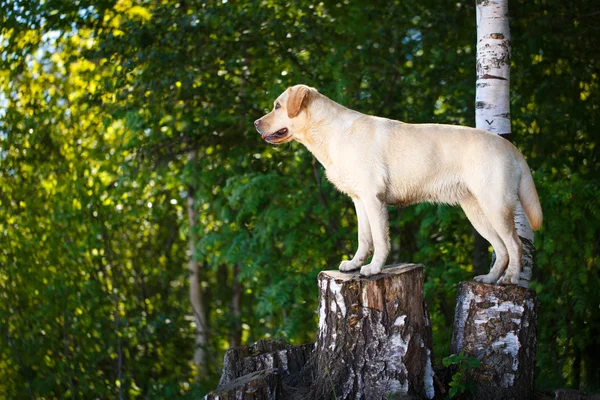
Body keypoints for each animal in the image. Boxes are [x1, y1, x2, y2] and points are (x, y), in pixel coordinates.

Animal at [254, 83, 544, 284]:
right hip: (476, 211)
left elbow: (380, 240)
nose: (256, 123)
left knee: (515, 245)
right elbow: (364, 238)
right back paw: (490, 279)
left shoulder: (374, 199)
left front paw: (373, 268)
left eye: (277, 106)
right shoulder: (360, 201)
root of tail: (510, 146)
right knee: (502, 249)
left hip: (495, 206)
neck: (329, 133)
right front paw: (355, 264)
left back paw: (510, 279)